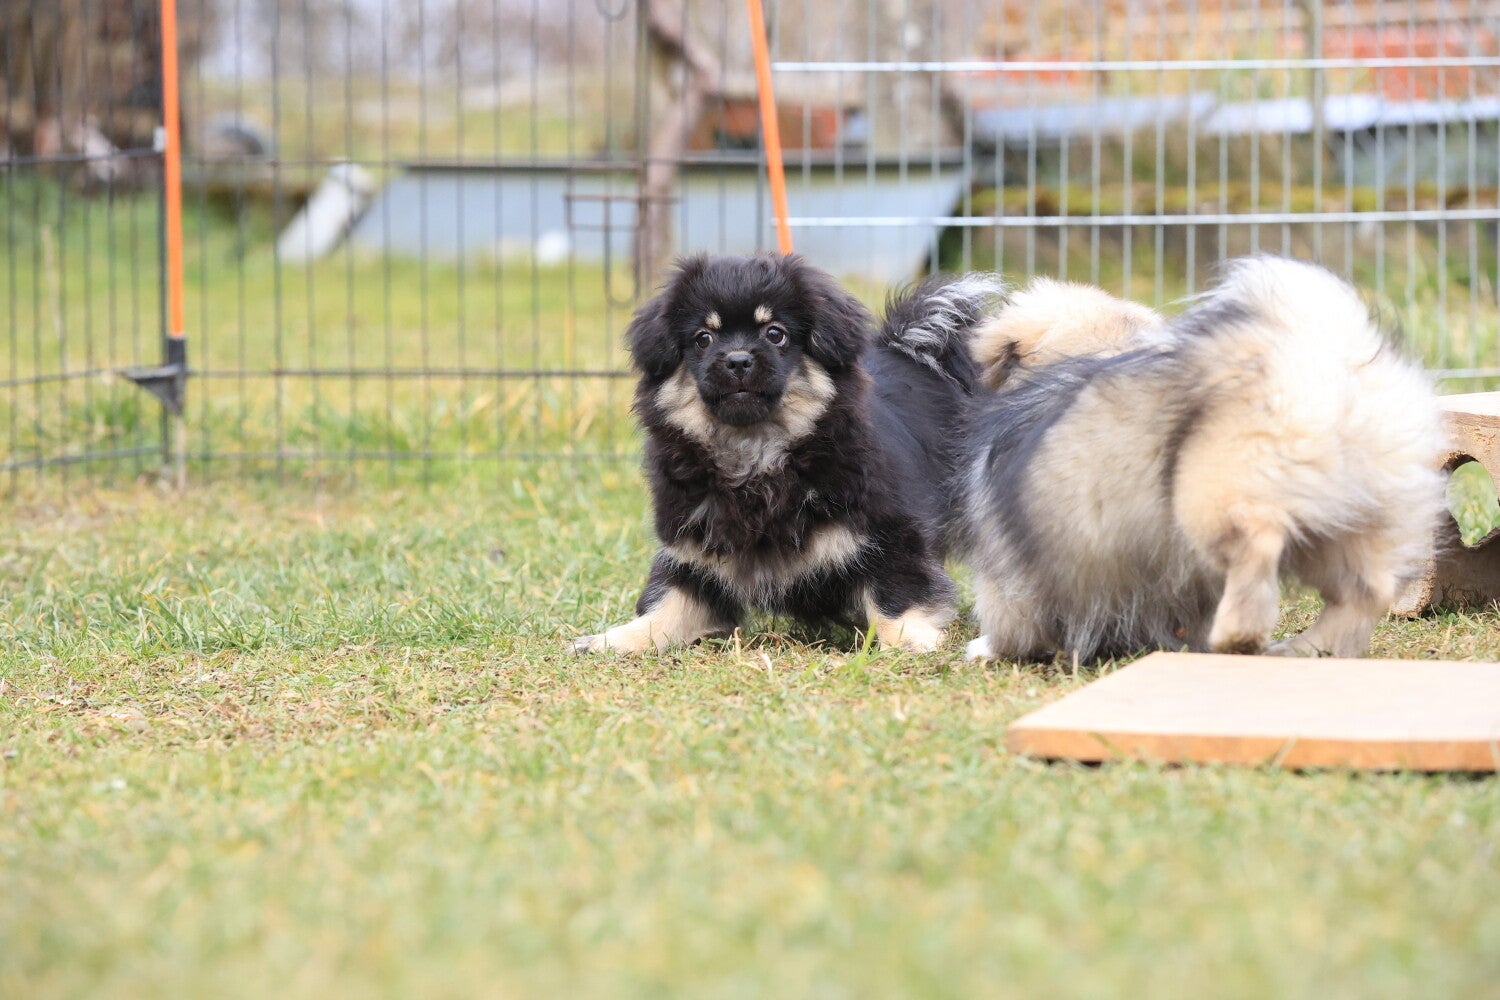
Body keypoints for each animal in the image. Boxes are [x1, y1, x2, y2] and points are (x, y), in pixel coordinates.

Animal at [573, 253, 1003, 654]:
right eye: (703, 338)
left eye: (775, 333)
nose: (738, 359)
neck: (754, 458)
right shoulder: (694, 552)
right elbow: (668, 605)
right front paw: (612, 640)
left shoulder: (889, 534)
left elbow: (896, 593)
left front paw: (910, 639)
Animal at [959, 255, 1446, 662]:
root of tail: (1325, 370)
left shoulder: (1007, 565)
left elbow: (1011, 621)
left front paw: (985, 648)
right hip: (1350, 523)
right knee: (1364, 593)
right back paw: (1303, 648)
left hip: (1211, 498)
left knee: (1257, 539)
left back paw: (1239, 634)